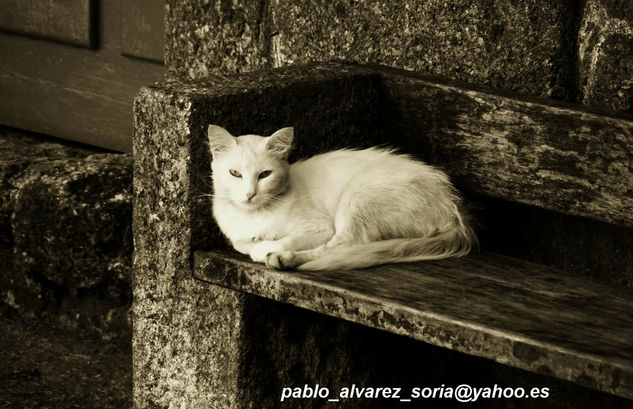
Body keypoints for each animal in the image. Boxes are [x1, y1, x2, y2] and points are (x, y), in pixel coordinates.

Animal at [207, 126, 474, 270]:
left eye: (265, 175)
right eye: (235, 173)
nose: (250, 194)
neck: (253, 216)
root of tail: (453, 206)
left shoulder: (318, 229)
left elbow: (278, 241)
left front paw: (265, 248)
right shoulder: (235, 237)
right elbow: (242, 244)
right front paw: (256, 242)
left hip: (359, 196)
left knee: (341, 246)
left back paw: (283, 259)